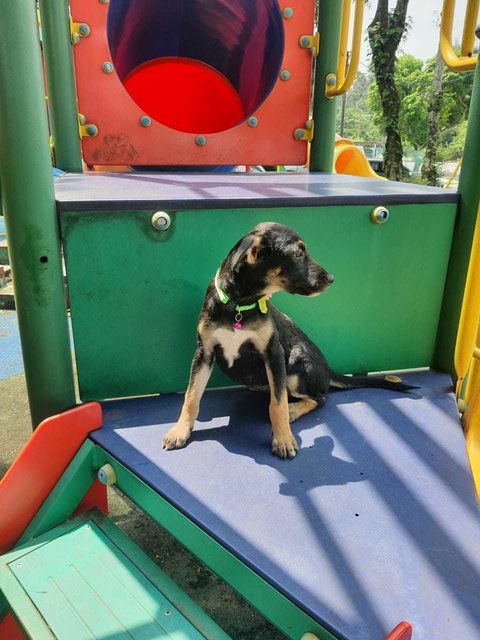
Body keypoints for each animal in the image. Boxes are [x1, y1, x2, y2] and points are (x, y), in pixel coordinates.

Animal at [163, 222, 410, 458]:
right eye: (298, 254)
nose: (331, 279)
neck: (240, 304)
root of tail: (329, 371)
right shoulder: (204, 353)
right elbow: (191, 396)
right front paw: (180, 431)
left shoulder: (274, 354)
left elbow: (278, 404)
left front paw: (283, 439)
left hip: (295, 368)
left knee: (320, 398)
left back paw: (293, 410)